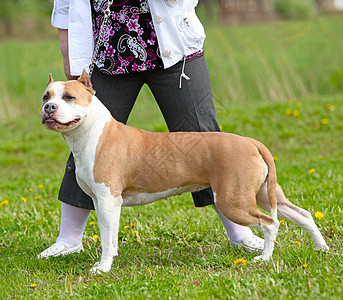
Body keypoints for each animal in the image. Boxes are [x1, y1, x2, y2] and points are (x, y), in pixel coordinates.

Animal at [40, 71, 330, 274]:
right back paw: (321, 248)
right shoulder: (102, 202)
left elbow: (106, 241)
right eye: (46, 96)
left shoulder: (108, 202)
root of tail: (250, 141)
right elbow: (109, 238)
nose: (49, 108)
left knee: (270, 223)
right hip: (262, 194)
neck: (92, 132)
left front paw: (103, 268)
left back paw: (265, 257)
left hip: (233, 200)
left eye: (68, 97)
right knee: (303, 215)